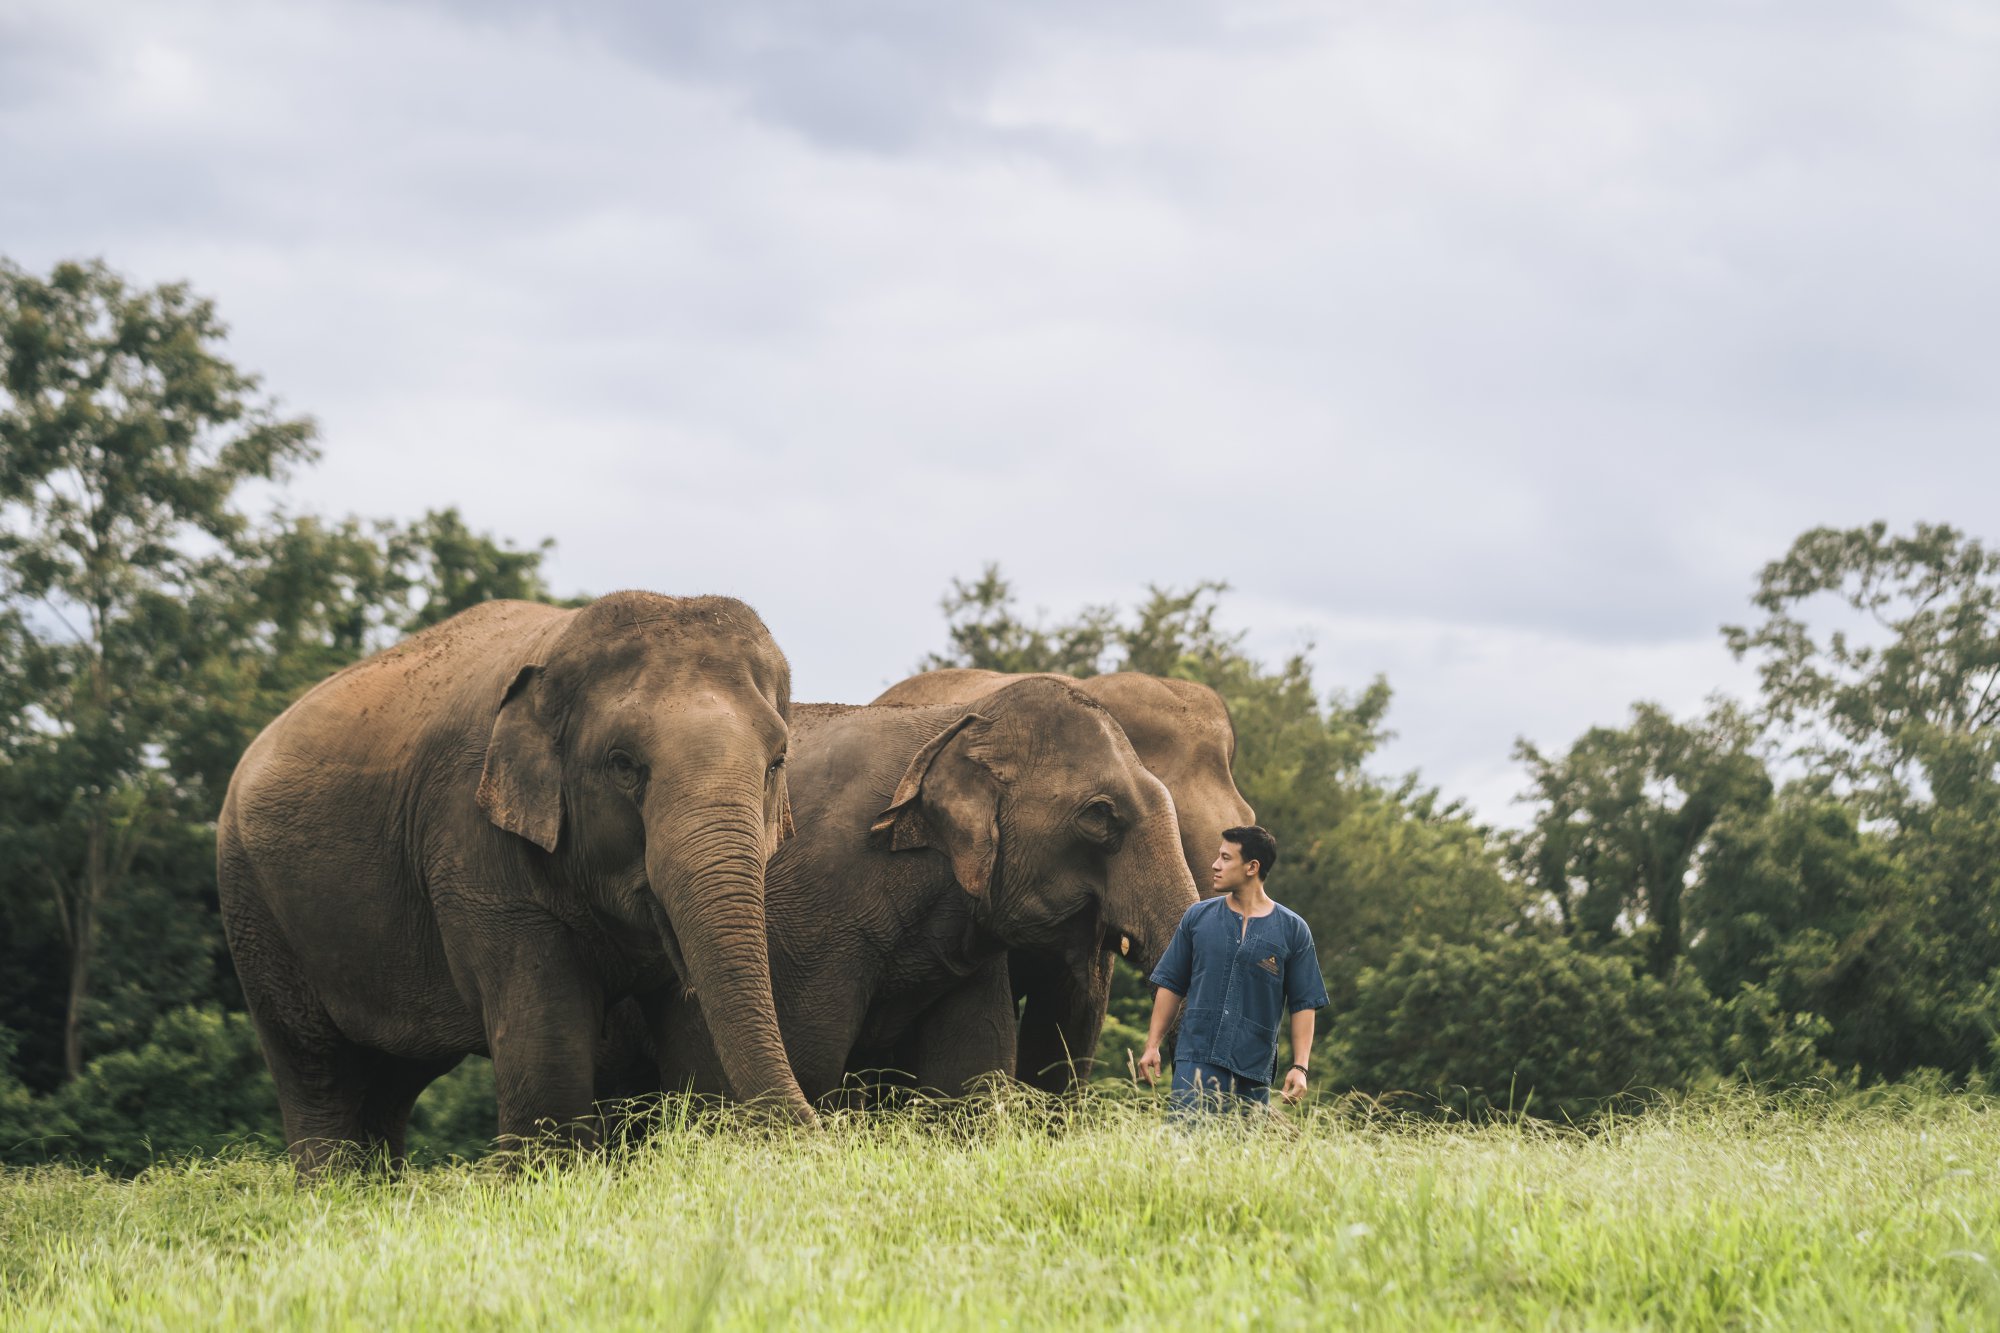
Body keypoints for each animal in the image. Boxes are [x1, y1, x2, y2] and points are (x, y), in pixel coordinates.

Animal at [217, 588, 812, 1168]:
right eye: (622, 765)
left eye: (776, 763)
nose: (808, 1129)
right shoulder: (468, 837)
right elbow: (548, 1038)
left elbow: (693, 1028)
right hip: (252, 906)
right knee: (318, 1068)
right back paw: (330, 1183)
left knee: (390, 1080)